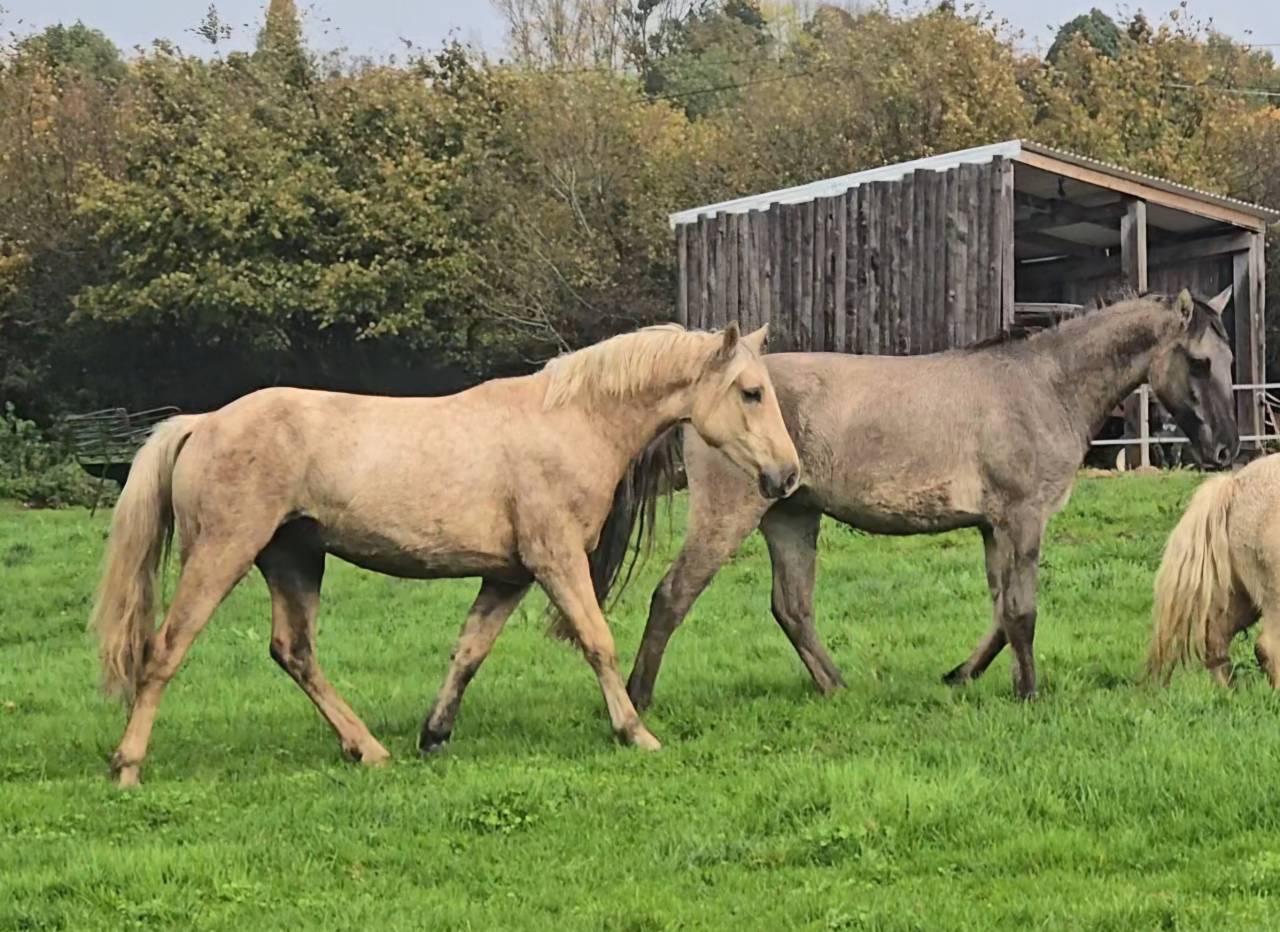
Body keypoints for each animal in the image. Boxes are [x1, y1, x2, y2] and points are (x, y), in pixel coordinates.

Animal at [90, 322, 800, 787]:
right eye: (750, 392)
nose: (787, 476)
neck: (571, 423)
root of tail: (202, 423)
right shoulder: (556, 561)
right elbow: (598, 642)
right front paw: (636, 733)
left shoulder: (508, 576)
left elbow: (468, 652)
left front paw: (433, 735)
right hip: (223, 552)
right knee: (164, 649)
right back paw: (128, 767)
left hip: (294, 561)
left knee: (294, 653)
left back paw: (369, 750)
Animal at [621, 288, 1237, 710]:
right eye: (1199, 362)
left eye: (1230, 363)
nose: (1227, 449)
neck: (1043, 386)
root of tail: (697, 398)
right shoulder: (1022, 519)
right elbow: (1022, 611)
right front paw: (1029, 693)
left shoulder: (993, 527)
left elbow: (1001, 612)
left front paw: (962, 674)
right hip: (730, 515)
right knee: (672, 596)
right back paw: (637, 701)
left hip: (790, 515)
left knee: (792, 607)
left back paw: (839, 688)